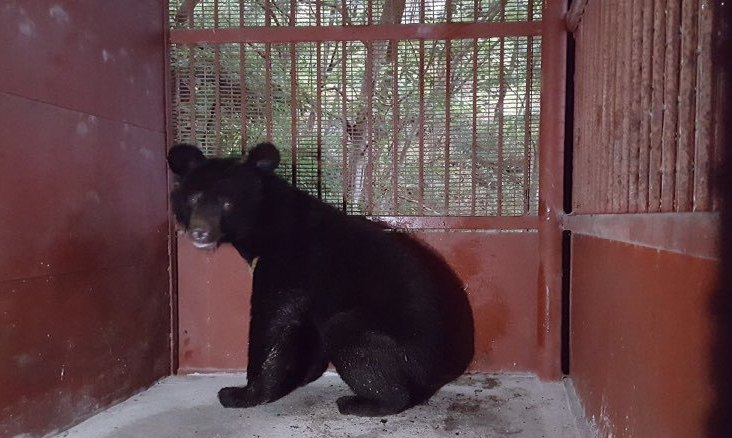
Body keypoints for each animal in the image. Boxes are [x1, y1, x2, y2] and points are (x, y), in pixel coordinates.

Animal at [166, 142, 474, 416]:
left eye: (227, 203)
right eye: (193, 199)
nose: (199, 233)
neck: (265, 225)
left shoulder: (289, 258)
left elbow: (272, 320)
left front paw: (240, 394)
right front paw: (298, 376)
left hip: (387, 341)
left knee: (352, 342)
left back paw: (361, 403)